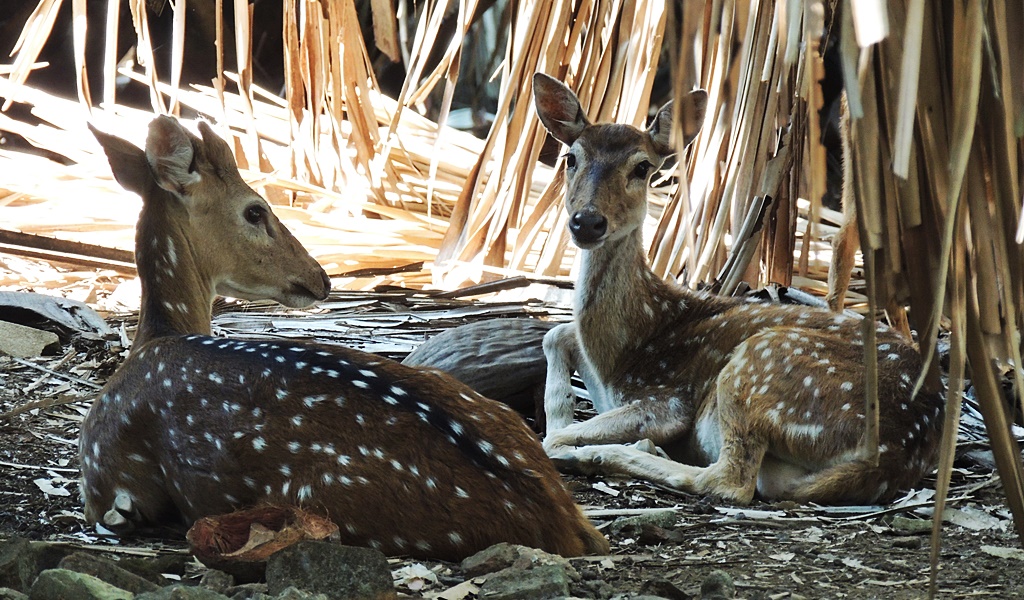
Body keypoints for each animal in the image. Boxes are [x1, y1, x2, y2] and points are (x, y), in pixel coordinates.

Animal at [83, 117, 606, 561]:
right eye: (255, 211)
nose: (321, 276)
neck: (156, 340)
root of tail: (563, 520)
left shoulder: (99, 473)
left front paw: (129, 514)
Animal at [536, 73, 942, 503]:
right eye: (571, 158)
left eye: (642, 167)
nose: (587, 221)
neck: (625, 348)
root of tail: (895, 453)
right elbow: (555, 333)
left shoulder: (666, 398)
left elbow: (556, 434)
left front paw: (569, 434)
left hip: (759, 362)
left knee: (731, 480)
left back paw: (609, 453)